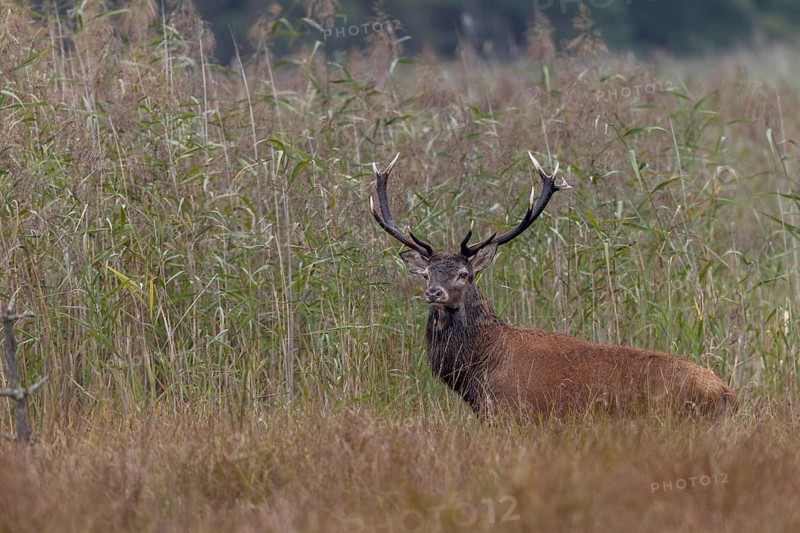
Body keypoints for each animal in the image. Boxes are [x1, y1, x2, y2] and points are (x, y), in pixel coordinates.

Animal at [370, 153, 738, 421]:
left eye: (464, 274)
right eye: (426, 274)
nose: (435, 293)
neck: (477, 369)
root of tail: (727, 393)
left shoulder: (512, 413)